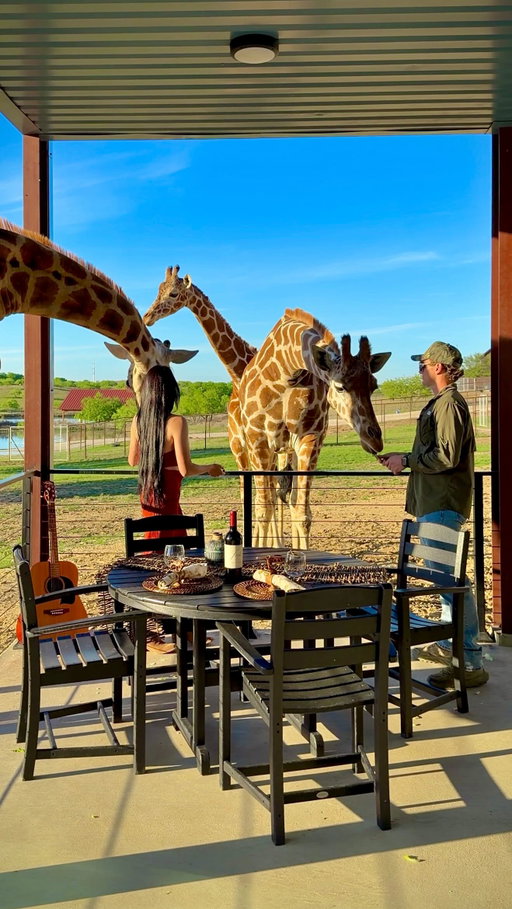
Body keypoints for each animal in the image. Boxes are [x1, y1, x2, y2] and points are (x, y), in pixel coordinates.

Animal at [238, 307, 391, 548]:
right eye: (339, 387)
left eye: (374, 386)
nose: (375, 440)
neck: (286, 371)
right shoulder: (259, 439)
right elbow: (263, 511)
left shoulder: (310, 437)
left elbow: (302, 513)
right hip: (253, 450)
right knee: (262, 502)